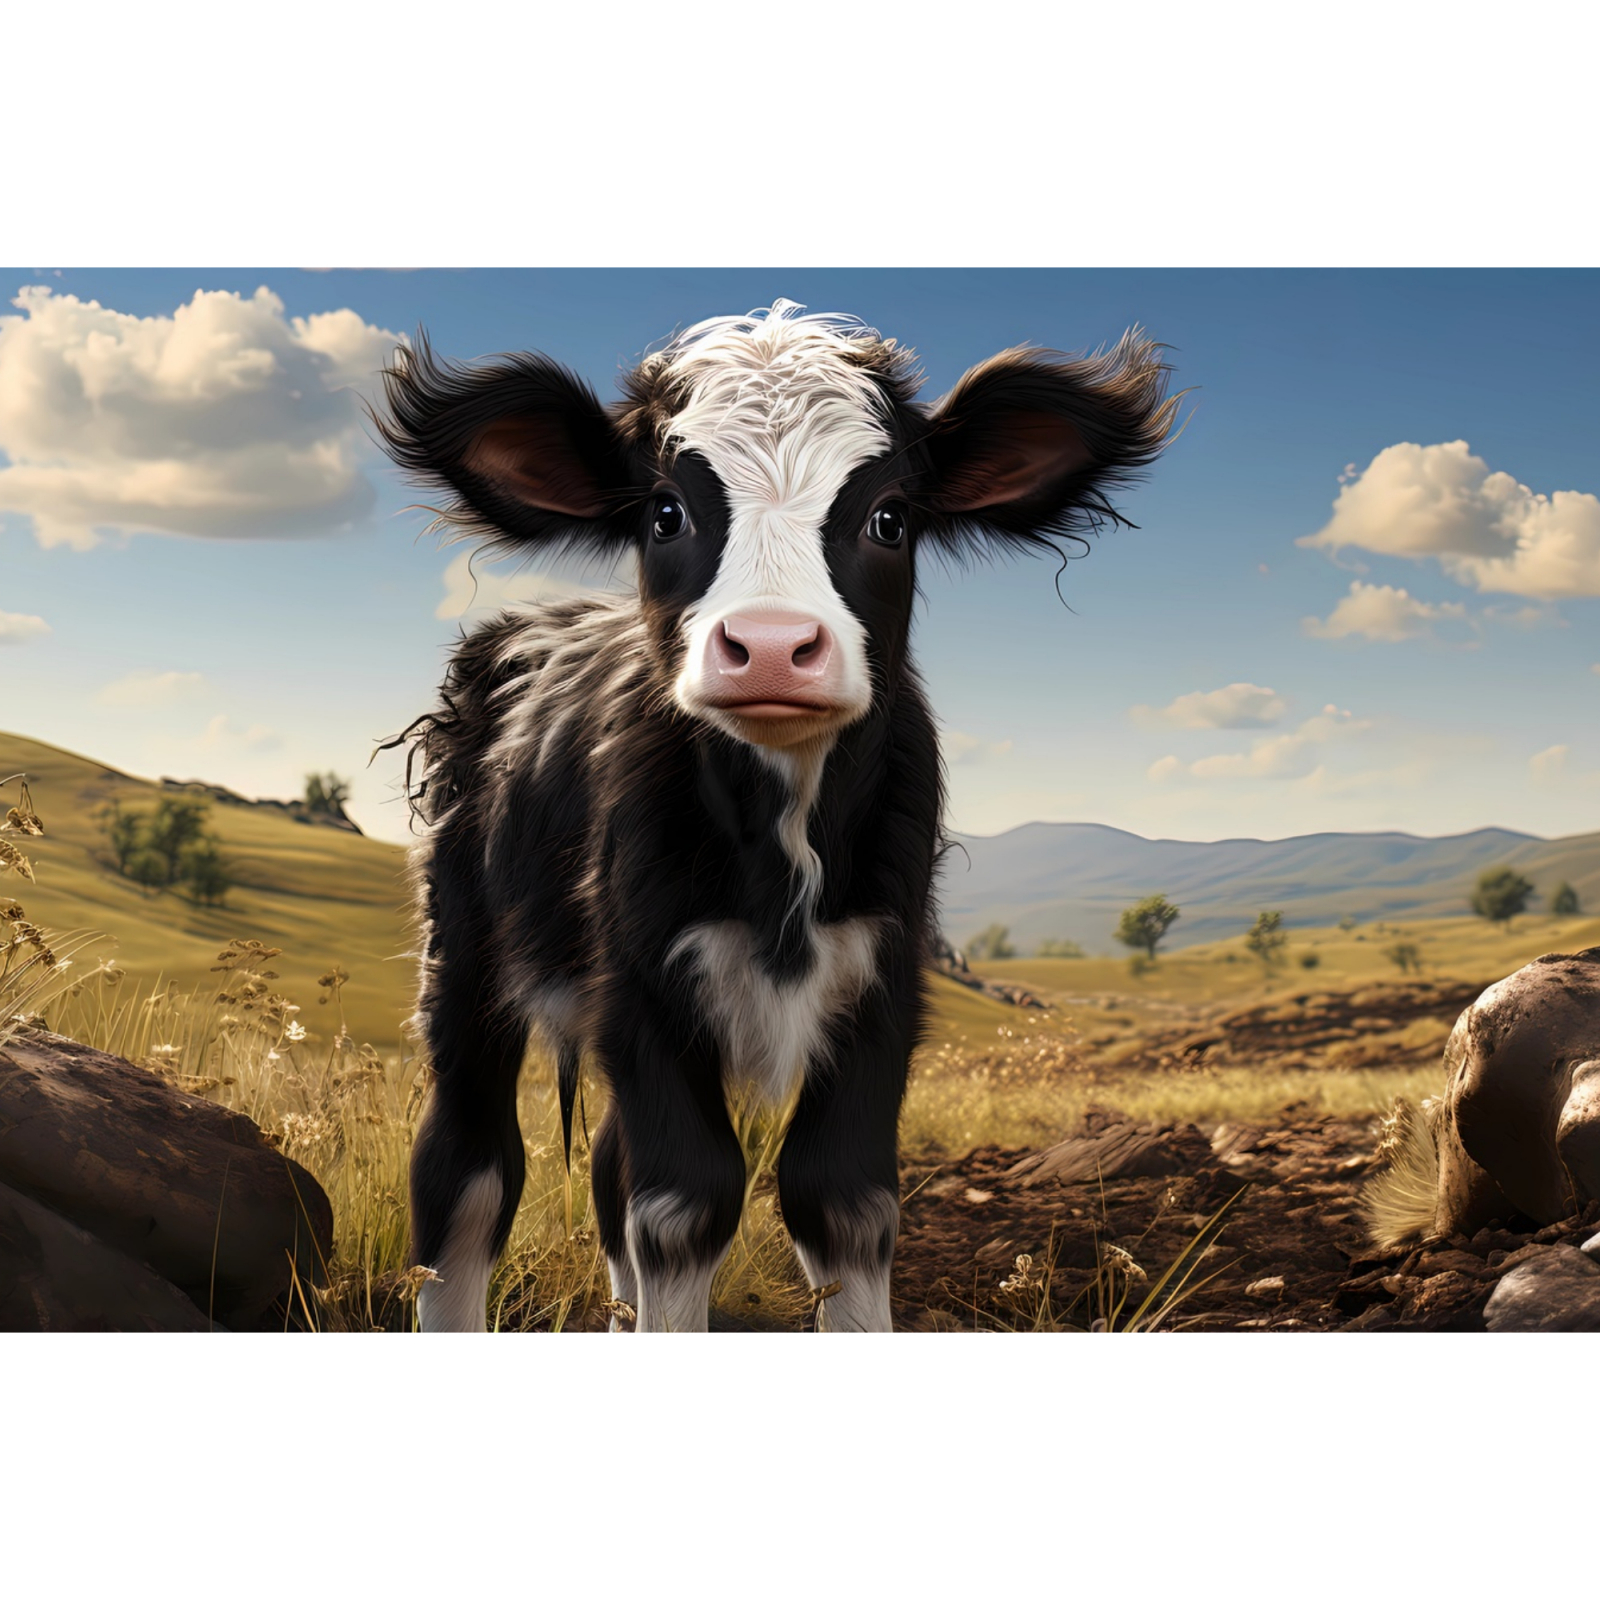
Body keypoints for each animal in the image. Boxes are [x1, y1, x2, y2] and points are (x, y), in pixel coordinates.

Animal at [376, 301, 1178, 1331]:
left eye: (890, 517)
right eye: (664, 512)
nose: (767, 647)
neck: (784, 838)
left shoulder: (884, 982)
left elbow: (843, 1196)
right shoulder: (641, 979)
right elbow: (685, 1200)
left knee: (604, 1166)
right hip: (464, 954)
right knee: (466, 1165)